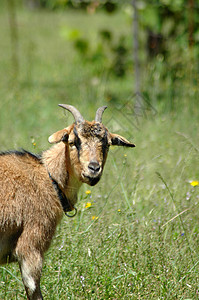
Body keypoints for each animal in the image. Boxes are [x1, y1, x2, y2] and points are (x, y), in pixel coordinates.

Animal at [0, 104, 135, 298]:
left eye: (107, 144)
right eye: (72, 141)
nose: (94, 168)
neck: (48, 177)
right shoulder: (30, 246)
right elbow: (34, 290)